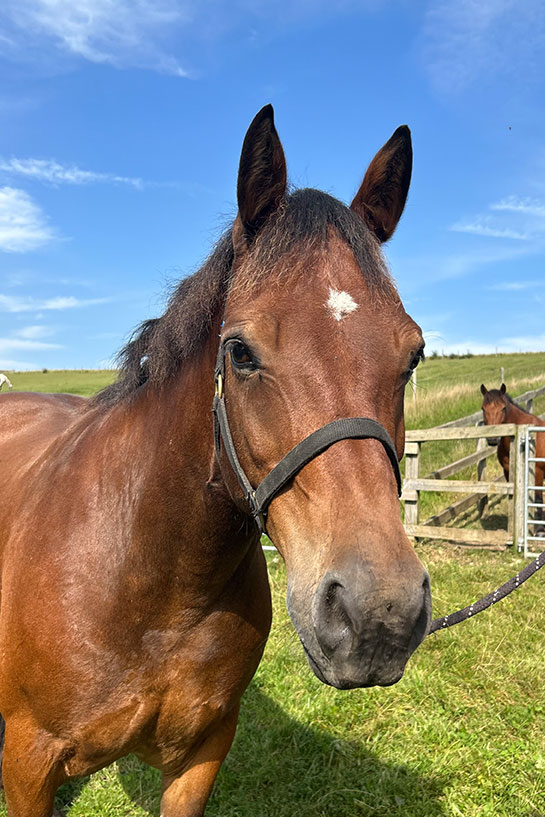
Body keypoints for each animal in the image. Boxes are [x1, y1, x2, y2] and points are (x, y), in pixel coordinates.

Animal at [0, 108, 432, 816]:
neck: (151, 581)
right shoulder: (29, 764)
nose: (380, 616)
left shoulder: (202, 752)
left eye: (414, 353)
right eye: (241, 352)